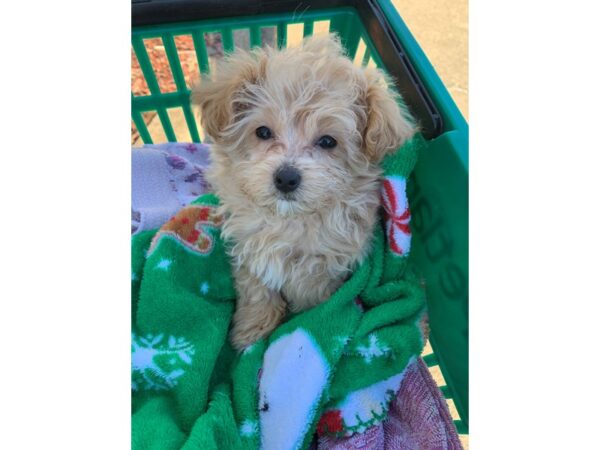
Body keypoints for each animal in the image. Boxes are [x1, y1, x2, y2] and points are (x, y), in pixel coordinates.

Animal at [193, 36, 418, 352]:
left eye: (328, 141)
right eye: (263, 132)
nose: (286, 178)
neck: (289, 219)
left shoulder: (325, 265)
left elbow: (309, 293)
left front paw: (298, 325)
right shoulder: (248, 245)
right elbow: (256, 289)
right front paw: (252, 331)